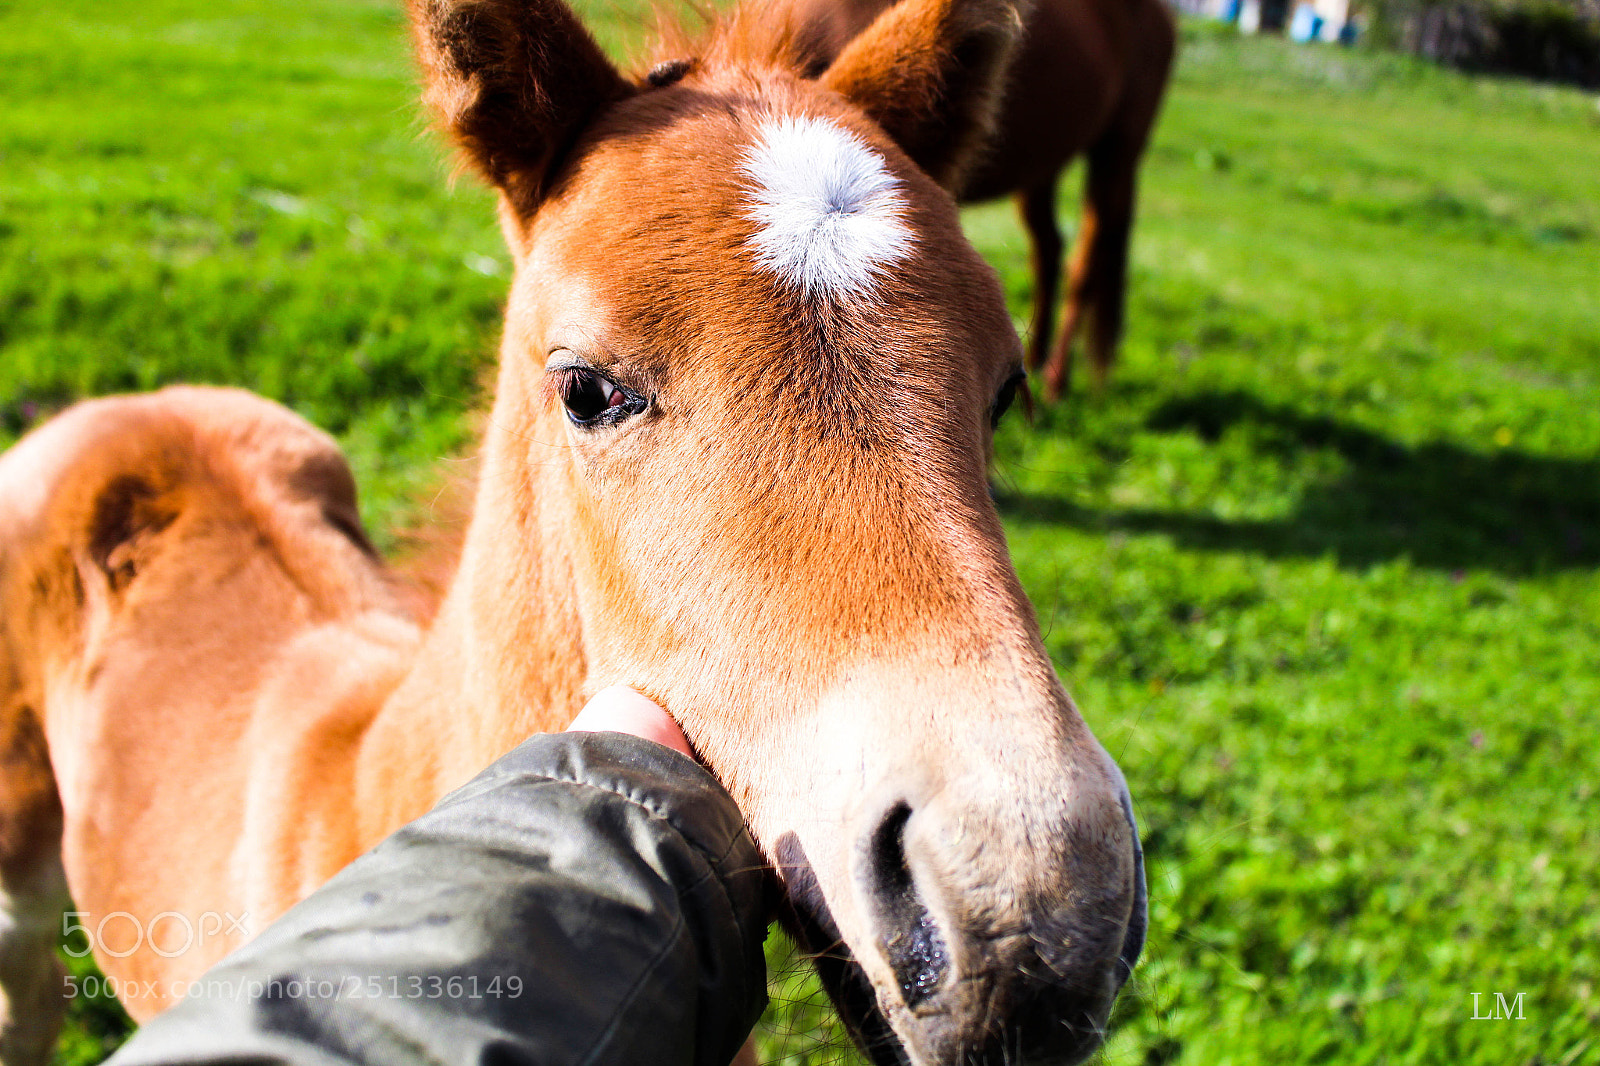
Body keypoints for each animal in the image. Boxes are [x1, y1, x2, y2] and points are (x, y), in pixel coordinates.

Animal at [779, 0, 1176, 397]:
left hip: (1117, 150)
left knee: (1087, 262)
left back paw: (1056, 382)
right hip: (1044, 168)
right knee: (1049, 248)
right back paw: (1038, 361)